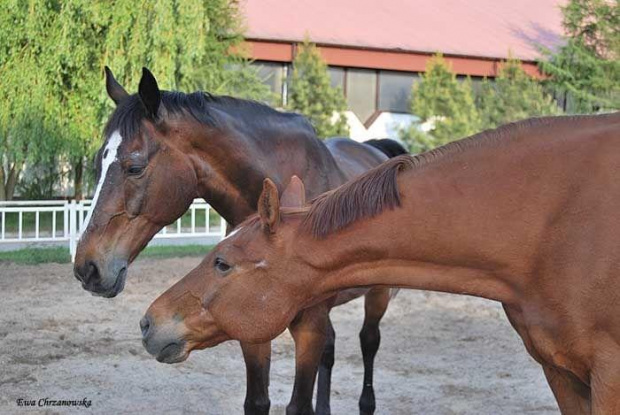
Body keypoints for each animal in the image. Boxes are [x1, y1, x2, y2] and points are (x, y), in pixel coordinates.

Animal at [75, 67, 406, 415]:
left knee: (369, 341)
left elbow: (299, 404)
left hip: (379, 293)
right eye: (97, 164)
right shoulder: (248, 320)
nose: (87, 267)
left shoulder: (309, 327)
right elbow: (257, 401)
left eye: (135, 167)